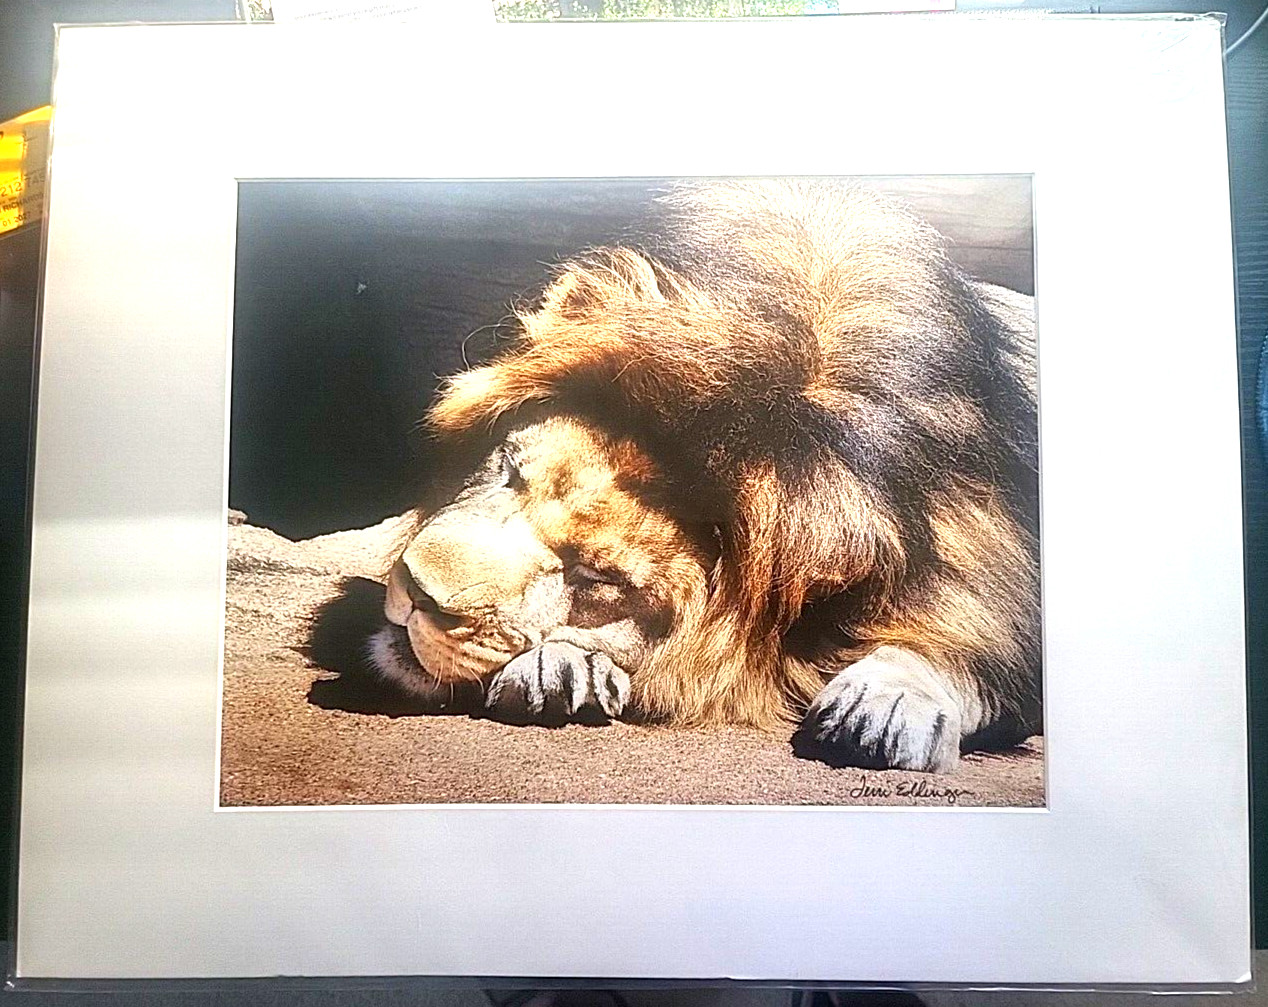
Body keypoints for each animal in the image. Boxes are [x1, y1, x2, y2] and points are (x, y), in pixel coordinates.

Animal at [367, 179, 1041, 773]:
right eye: (508, 469)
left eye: (597, 578)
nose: (416, 590)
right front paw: (558, 664)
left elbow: (960, 646)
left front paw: (894, 696)